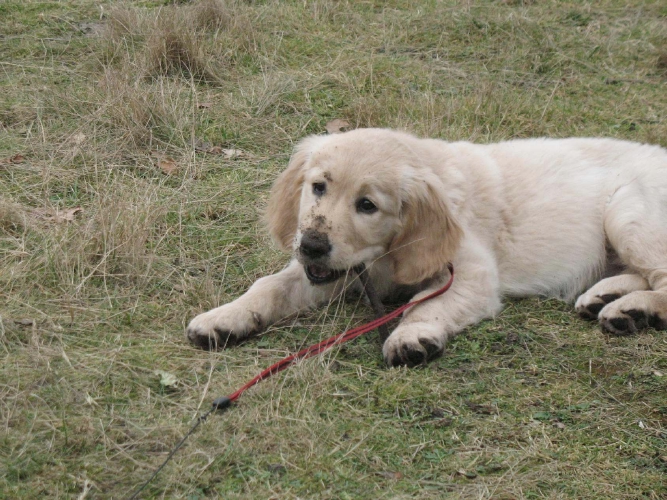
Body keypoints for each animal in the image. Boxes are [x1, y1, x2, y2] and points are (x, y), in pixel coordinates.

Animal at [187, 128, 667, 366]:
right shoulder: (336, 272)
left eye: (367, 205)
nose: (312, 245)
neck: (384, 255)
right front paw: (225, 317)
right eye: (318, 187)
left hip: (628, 212)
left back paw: (633, 310)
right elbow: (269, 285)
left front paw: (412, 334)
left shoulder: (473, 274)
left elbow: (425, 303)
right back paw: (605, 297)